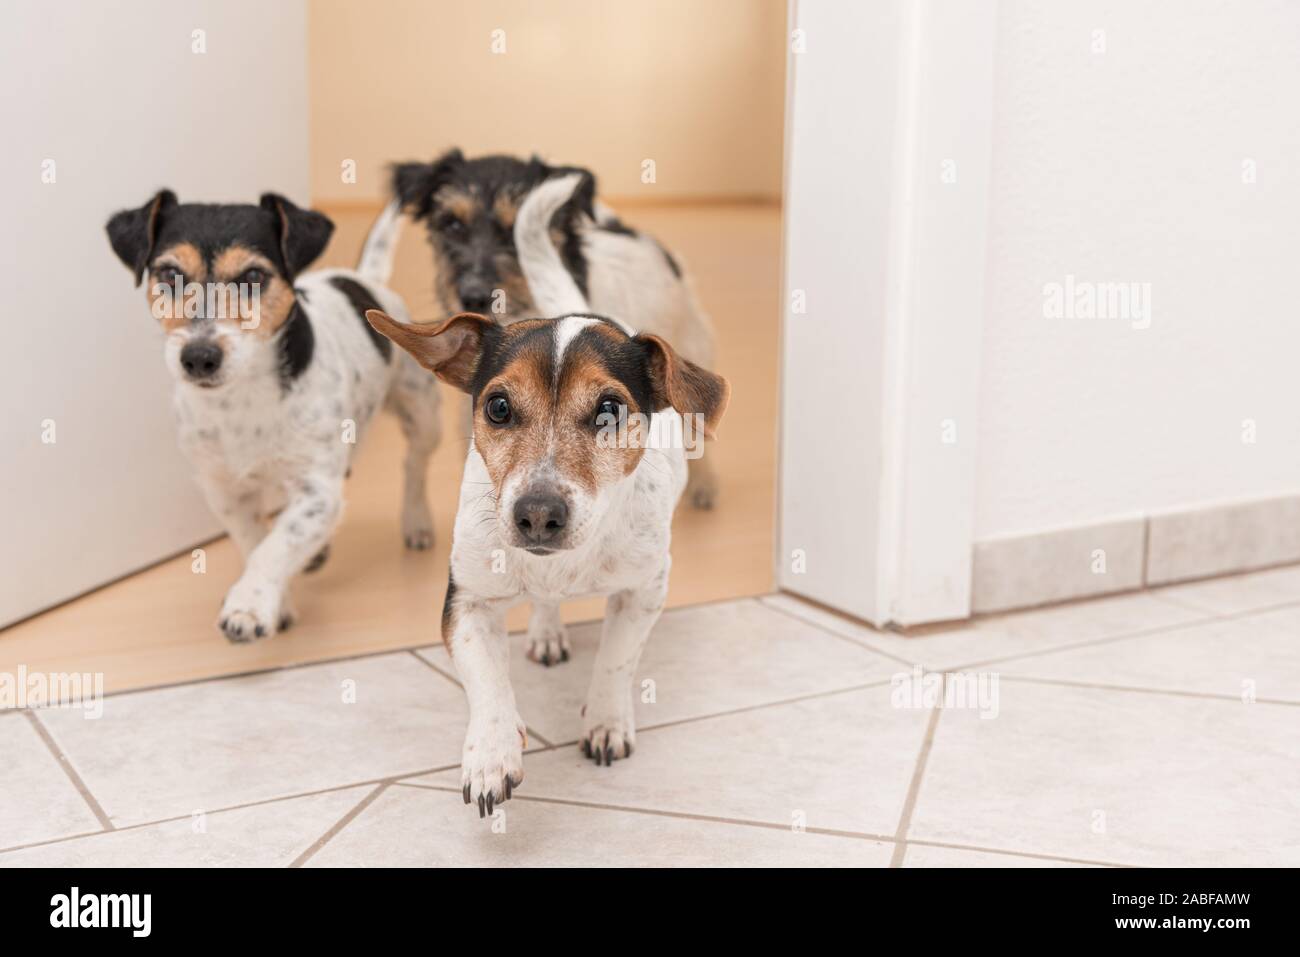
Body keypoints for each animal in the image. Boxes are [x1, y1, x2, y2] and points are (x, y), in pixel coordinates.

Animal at [107, 192, 441, 642]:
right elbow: (256, 541)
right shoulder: (225, 491)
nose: (198, 357)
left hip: (422, 415)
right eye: (170, 273)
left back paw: (416, 520)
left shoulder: (317, 489)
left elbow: (277, 544)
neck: (241, 400)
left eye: (253, 275)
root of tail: (362, 277)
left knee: (415, 464)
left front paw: (248, 606)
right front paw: (275, 600)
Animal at [366, 174, 733, 816]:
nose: (537, 515)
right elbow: (487, 684)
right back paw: (545, 629)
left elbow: (616, 660)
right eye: (497, 406)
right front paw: (492, 752)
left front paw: (607, 722)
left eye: (610, 410)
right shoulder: (466, 601)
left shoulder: (645, 591)